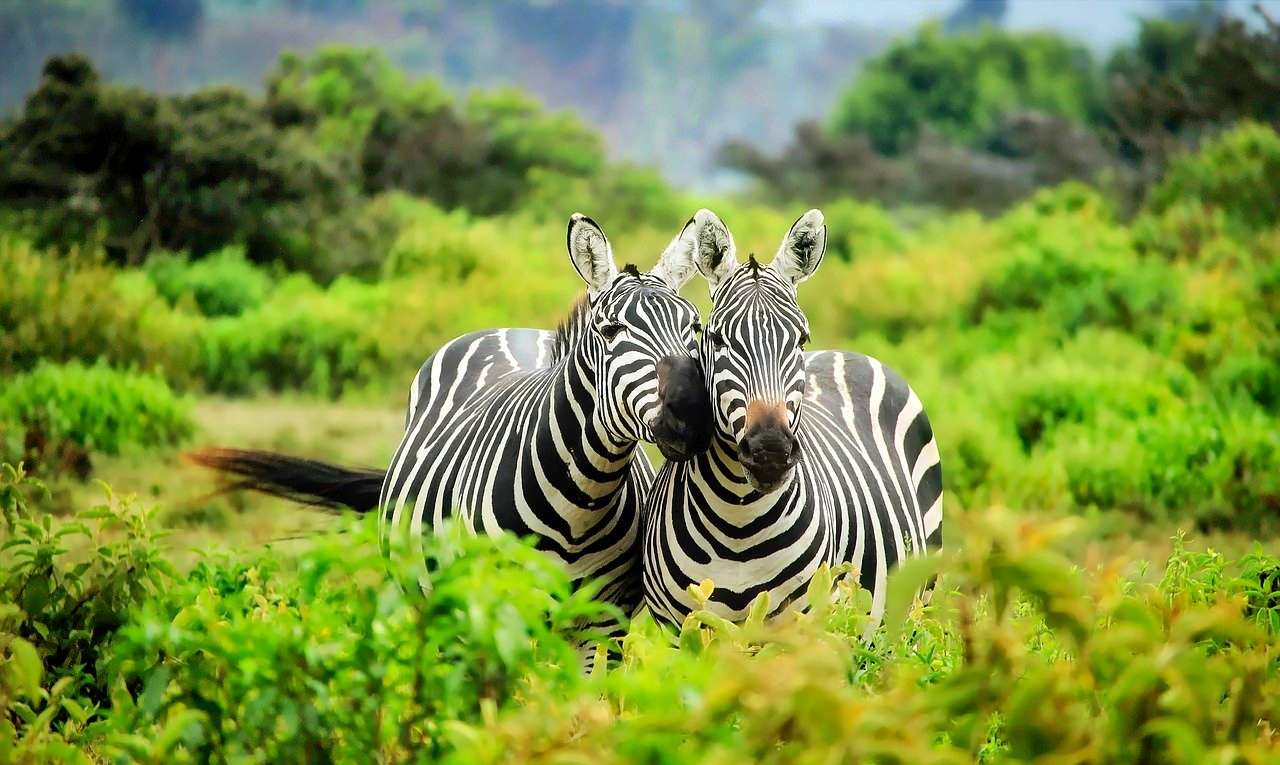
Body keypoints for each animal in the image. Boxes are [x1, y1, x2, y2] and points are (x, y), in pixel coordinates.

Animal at [190, 212, 716, 621]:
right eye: (610, 331)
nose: (691, 414)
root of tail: (508, 329)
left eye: (694, 326)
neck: (581, 502)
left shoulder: (603, 622)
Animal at [640, 208, 942, 629]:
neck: (738, 522)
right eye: (717, 340)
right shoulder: (679, 628)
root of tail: (847, 353)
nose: (770, 451)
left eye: (800, 339)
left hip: (916, 603)